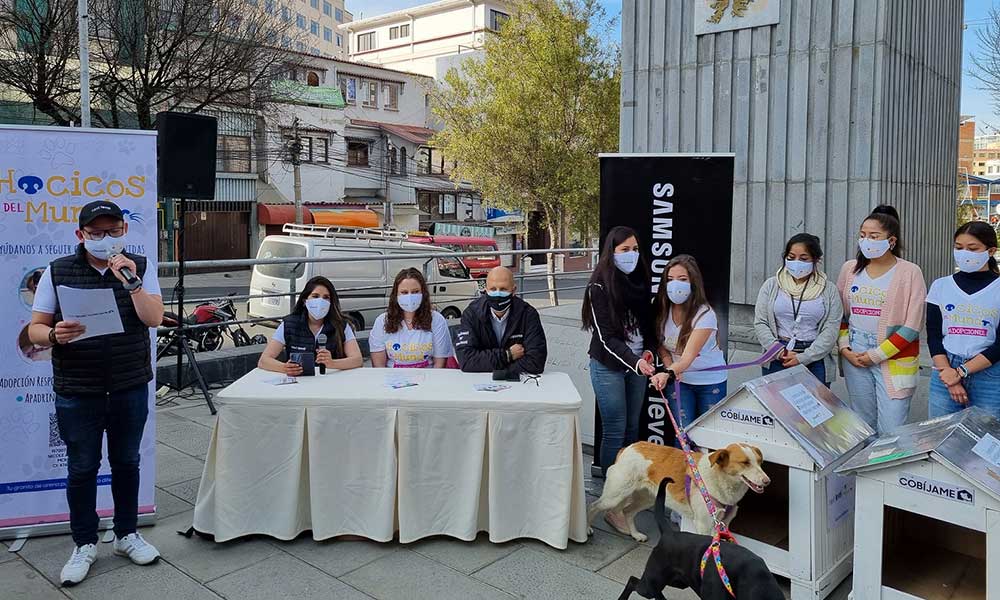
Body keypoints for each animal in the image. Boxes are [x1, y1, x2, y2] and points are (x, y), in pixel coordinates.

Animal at [588, 438, 768, 540]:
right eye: (745, 463)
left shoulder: (724, 524)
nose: (767, 481)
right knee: (594, 506)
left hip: (647, 498)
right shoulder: (703, 524)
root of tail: (628, 447)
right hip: (614, 496)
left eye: (760, 462)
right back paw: (588, 529)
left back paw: (636, 535)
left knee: (627, 511)